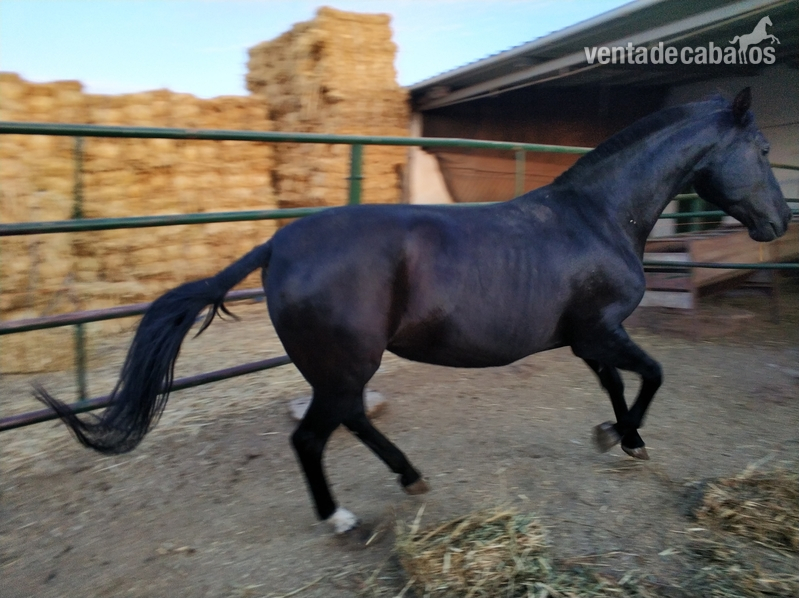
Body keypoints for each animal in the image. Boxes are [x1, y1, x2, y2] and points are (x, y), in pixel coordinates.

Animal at [36, 88, 791, 534]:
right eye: (760, 150)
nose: (780, 222)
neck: (596, 217)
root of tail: (278, 243)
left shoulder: (590, 337)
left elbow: (615, 382)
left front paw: (618, 437)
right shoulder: (603, 329)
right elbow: (653, 374)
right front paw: (628, 437)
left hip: (340, 368)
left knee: (350, 420)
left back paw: (409, 476)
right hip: (345, 364)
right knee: (313, 436)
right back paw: (341, 518)